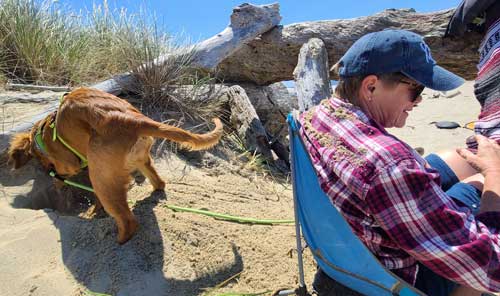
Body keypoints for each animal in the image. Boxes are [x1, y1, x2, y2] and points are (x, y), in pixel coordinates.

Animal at [7, 86, 223, 244]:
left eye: (43, 159)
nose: (47, 171)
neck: (41, 135)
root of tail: (132, 120)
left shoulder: (67, 165)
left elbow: (65, 174)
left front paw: (60, 185)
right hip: (139, 161)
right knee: (159, 183)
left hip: (102, 178)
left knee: (127, 220)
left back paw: (116, 240)